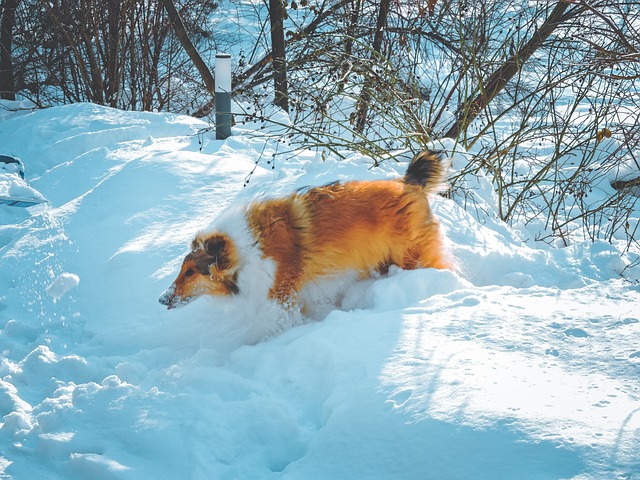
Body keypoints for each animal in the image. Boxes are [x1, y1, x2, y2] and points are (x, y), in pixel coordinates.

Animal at [159, 152, 450, 314]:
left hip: (412, 256)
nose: (162, 299)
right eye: (182, 269)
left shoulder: (282, 293)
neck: (245, 250)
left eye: (191, 272)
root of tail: (410, 183)